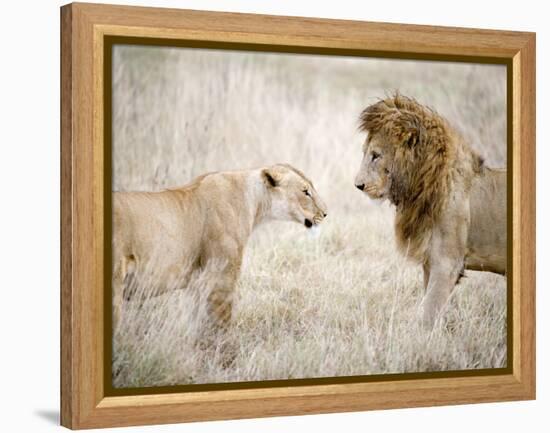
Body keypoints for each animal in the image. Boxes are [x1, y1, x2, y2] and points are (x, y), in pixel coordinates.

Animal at [112, 164, 328, 332]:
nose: (325, 213)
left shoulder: (198, 283)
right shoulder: (221, 278)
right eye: (305, 192)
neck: (255, 203)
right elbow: (221, 326)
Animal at [356, 94, 506, 328]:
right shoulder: (430, 262)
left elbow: (427, 313)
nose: (358, 185)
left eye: (376, 155)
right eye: (366, 154)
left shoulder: (447, 264)